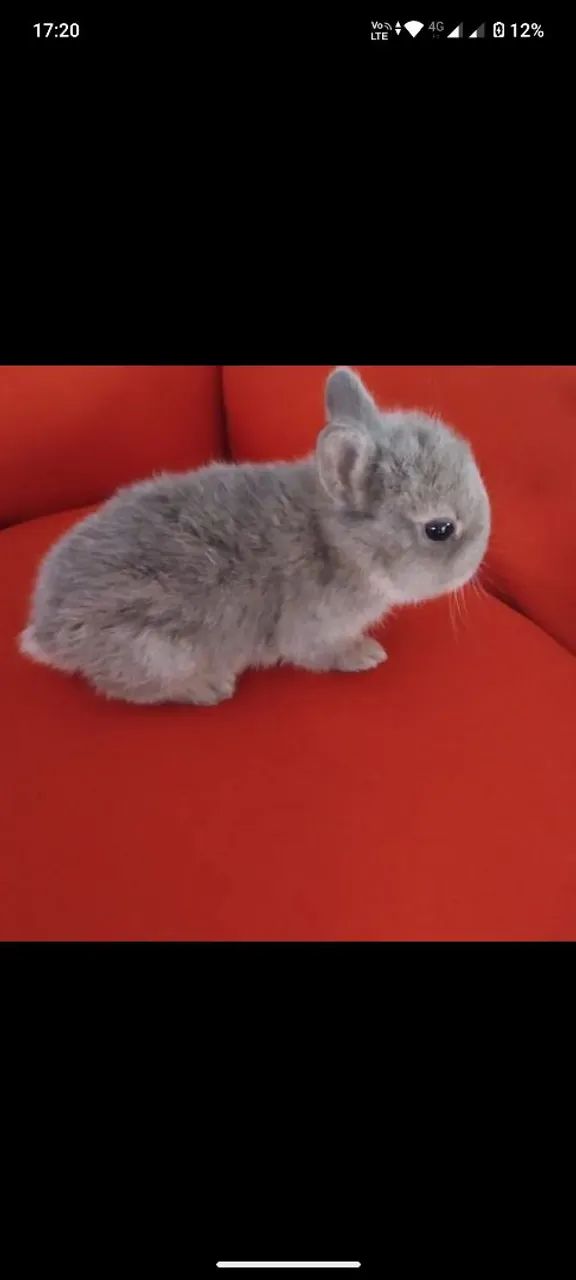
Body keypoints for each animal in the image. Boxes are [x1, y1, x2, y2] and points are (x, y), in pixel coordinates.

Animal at [18, 367, 491, 705]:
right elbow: (324, 653)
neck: (338, 542)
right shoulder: (315, 631)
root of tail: (46, 633)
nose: (477, 563)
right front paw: (366, 655)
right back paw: (209, 687)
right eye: (440, 529)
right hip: (152, 650)